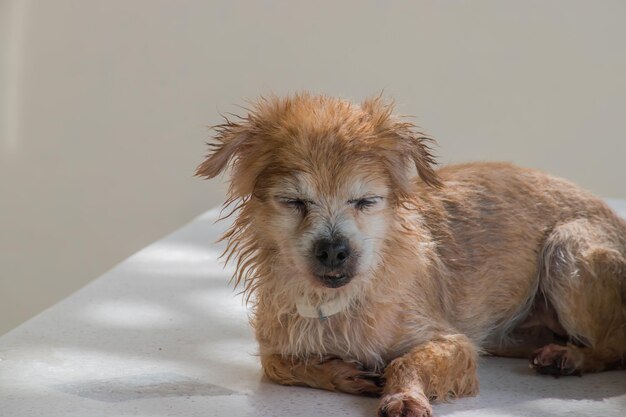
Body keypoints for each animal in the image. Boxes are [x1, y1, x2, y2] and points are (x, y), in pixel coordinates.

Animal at [196, 94, 624, 416]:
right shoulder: (276, 345)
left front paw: (402, 396)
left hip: (565, 247)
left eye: (365, 201)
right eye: (294, 202)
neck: (336, 303)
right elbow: (278, 365)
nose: (334, 249)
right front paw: (343, 373)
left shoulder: (453, 344)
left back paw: (570, 358)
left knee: (614, 346)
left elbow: (407, 360)